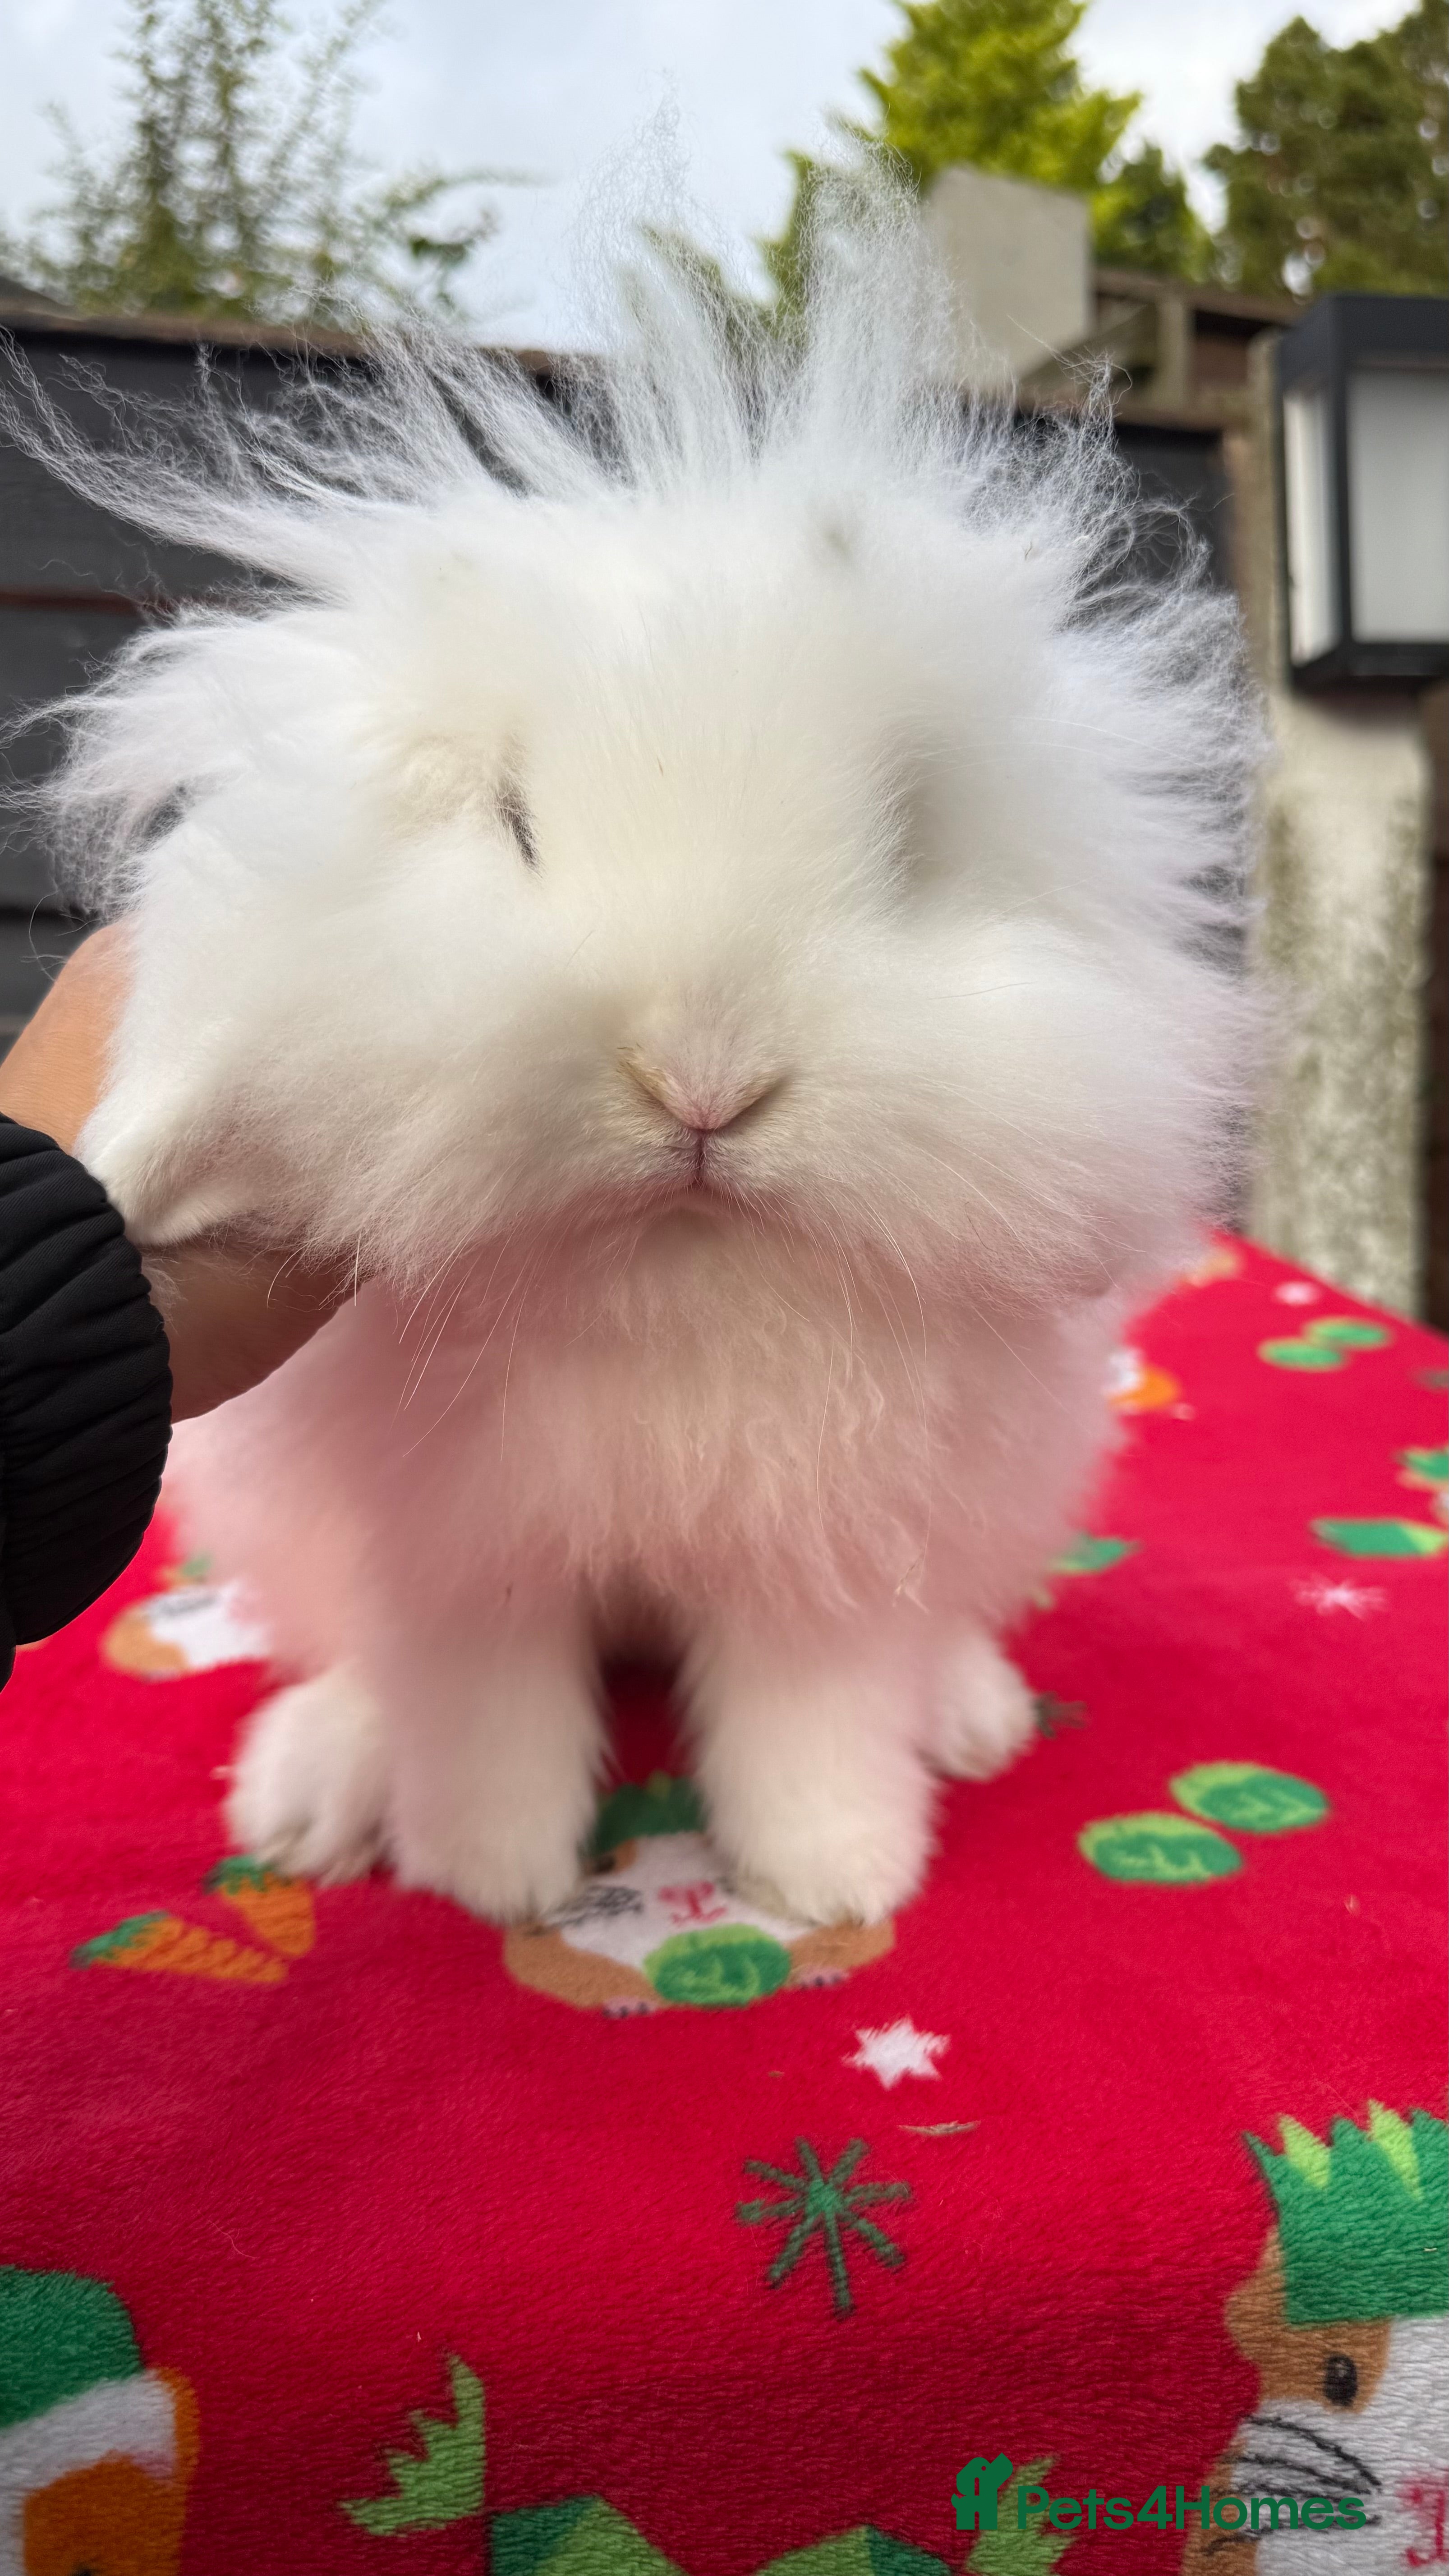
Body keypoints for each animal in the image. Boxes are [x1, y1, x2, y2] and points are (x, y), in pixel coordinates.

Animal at [29, 192, 1259, 1926]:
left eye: (907, 848)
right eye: (515, 823)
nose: (703, 1083)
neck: (674, 1282)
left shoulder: (821, 1551)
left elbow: (813, 1708)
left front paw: (837, 1877)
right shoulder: (463, 1560)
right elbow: (481, 1705)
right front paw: (493, 1877)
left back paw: (970, 1714)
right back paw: (316, 1794)